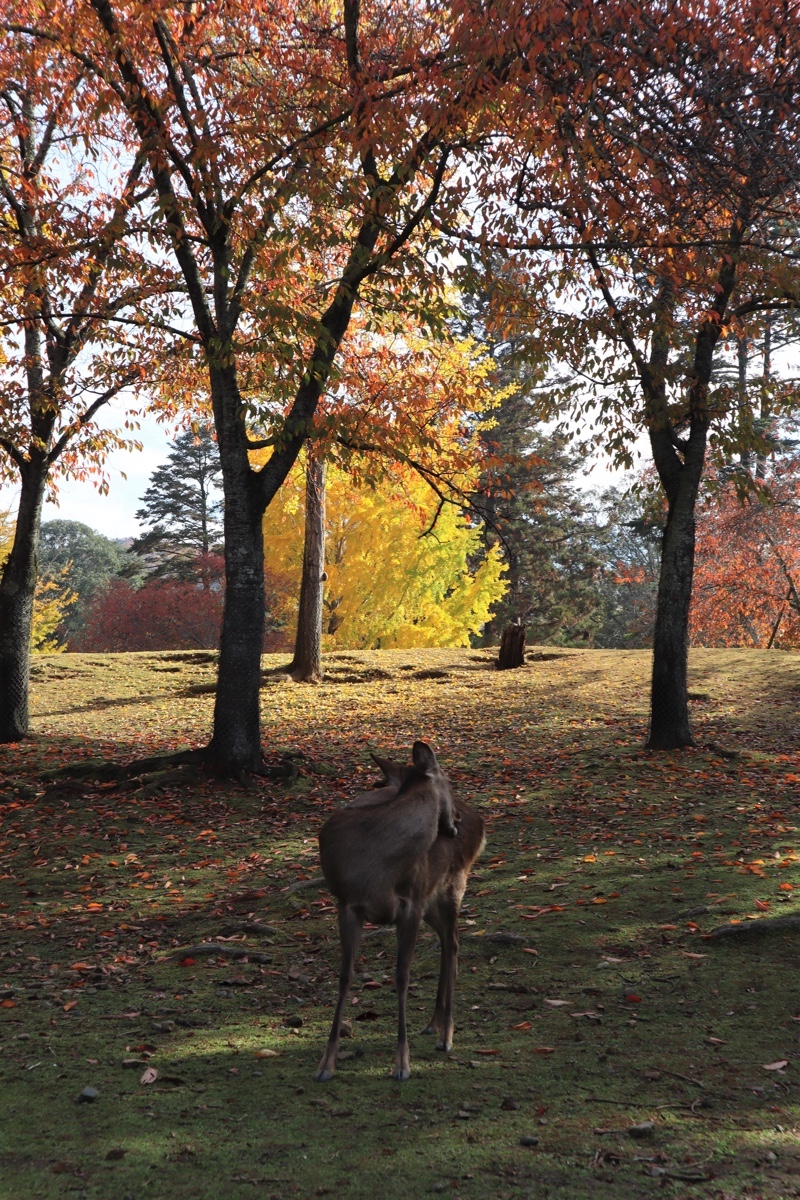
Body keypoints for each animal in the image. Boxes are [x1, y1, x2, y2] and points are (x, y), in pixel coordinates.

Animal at [315, 740, 485, 1082]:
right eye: (449, 781)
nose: (458, 819)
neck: (376, 870)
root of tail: (482, 823)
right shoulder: (346, 905)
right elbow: (344, 976)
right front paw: (326, 1063)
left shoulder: (411, 905)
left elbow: (402, 976)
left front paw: (402, 1064)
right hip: (431, 903)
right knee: (448, 940)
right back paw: (434, 1023)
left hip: (453, 884)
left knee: (453, 942)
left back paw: (446, 1034)